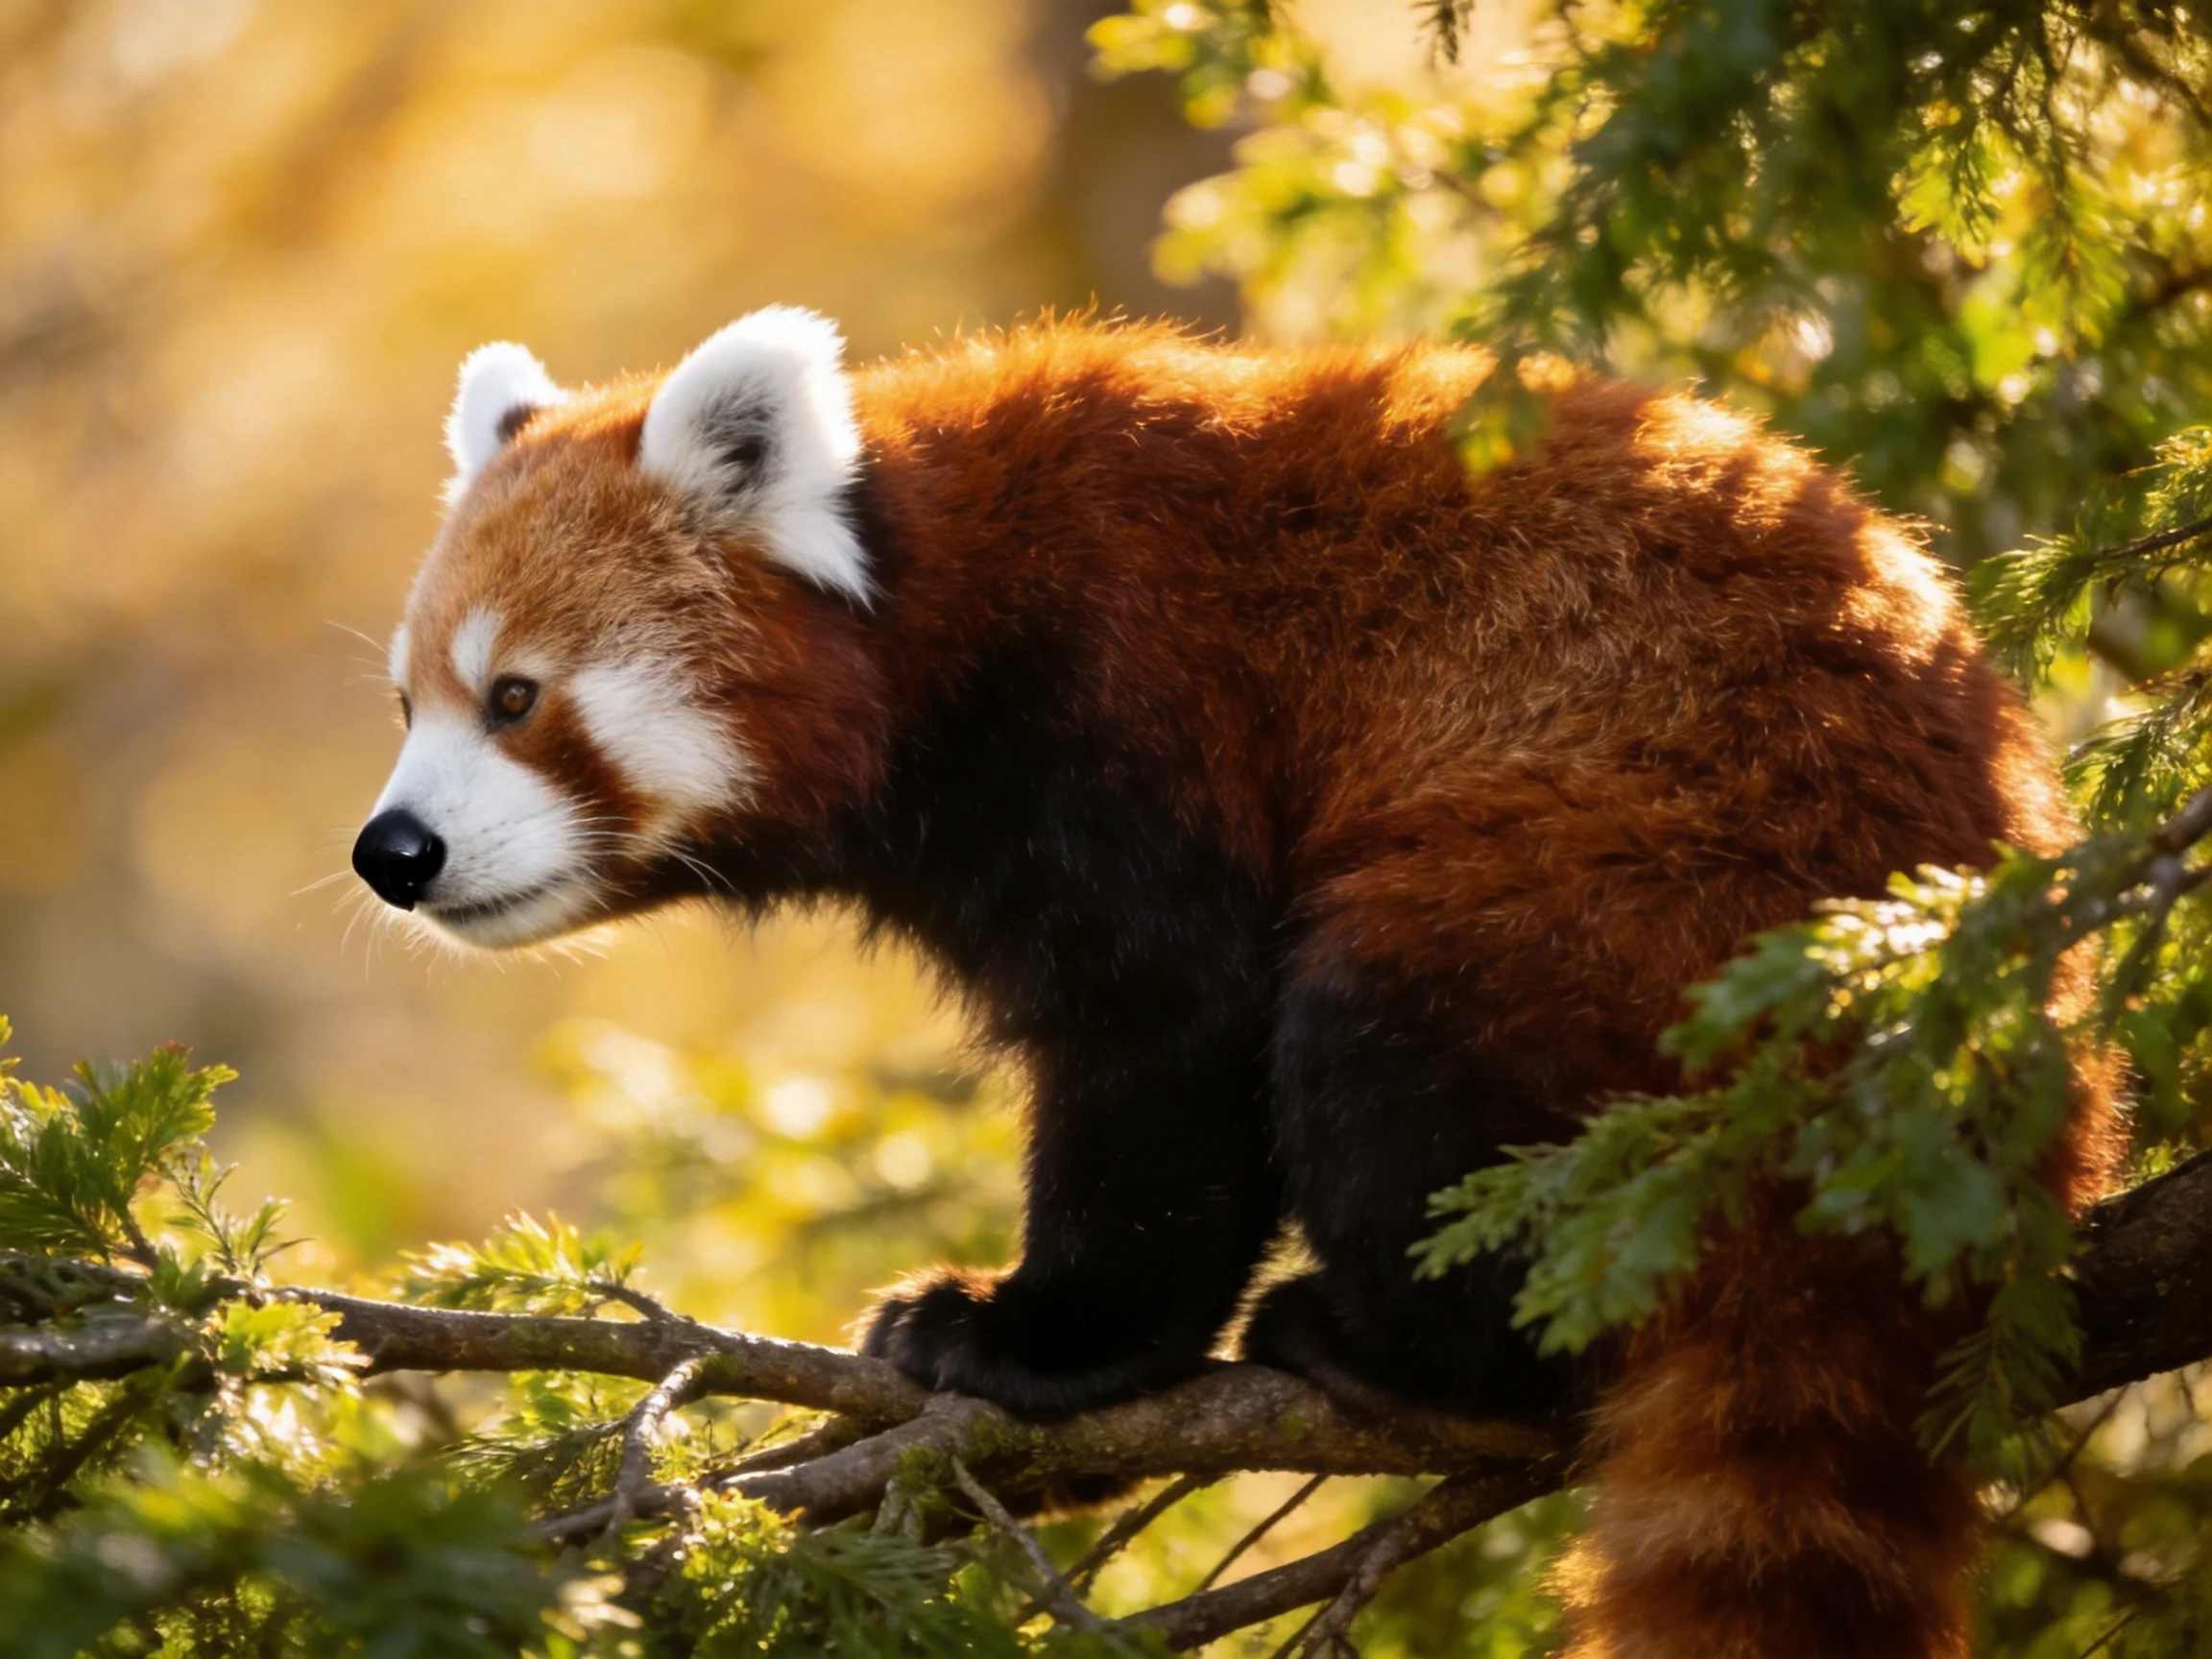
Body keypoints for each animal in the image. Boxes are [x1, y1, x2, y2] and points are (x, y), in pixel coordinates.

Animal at [353, 308, 2118, 1658]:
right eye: (408, 702)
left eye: (517, 698)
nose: (394, 852)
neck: (945, 612)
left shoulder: (1128, 712)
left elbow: (1170, 1052)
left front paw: (1036, 1341)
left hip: (1586, 893)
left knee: (1385, 1050)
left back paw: (1384, 1340)